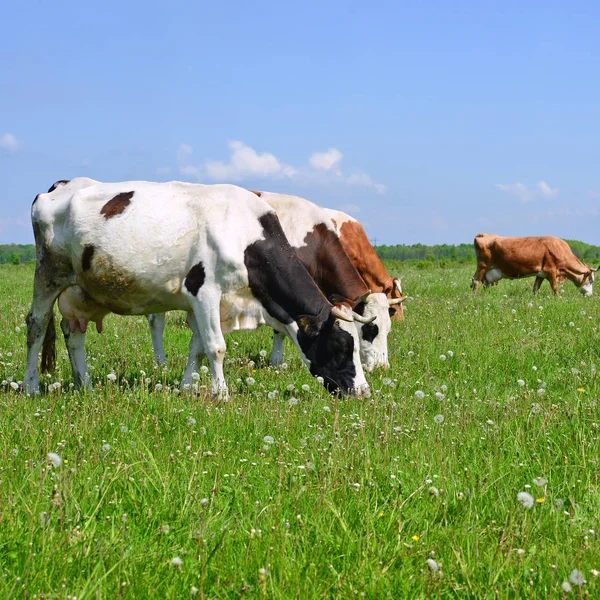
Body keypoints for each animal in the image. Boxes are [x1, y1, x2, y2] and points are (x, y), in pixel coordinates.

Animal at [27, 178, 370, 398]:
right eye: (342, 346)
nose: (363, 392)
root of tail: (60, 185)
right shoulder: (203, 291)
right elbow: (216, 347)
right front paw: (222, 394)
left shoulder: (211, 304)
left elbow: (199, 347)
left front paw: (186, 388)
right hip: (48, 272)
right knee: (37, 324)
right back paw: (31, 386)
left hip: (79, 292)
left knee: (74, 334)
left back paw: (84, 385)